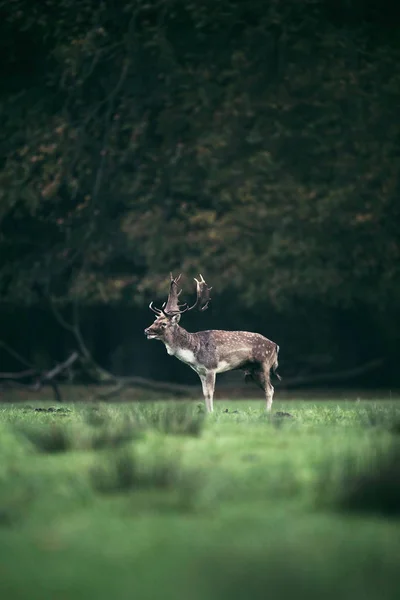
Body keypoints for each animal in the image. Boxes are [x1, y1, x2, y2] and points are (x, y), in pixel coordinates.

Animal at [145, 274, 282, 410]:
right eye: (154, 321)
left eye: (164, 324)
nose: (147, 330)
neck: (194, 352)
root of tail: (275, 346)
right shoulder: (200, 371)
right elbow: (205, 393)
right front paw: (207, 412)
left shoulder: (211, 367)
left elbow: (211, 393)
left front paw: (211, 412)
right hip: (253, 370)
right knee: (269, 389)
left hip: (264, 364)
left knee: (270, 389)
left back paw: (267, 412)